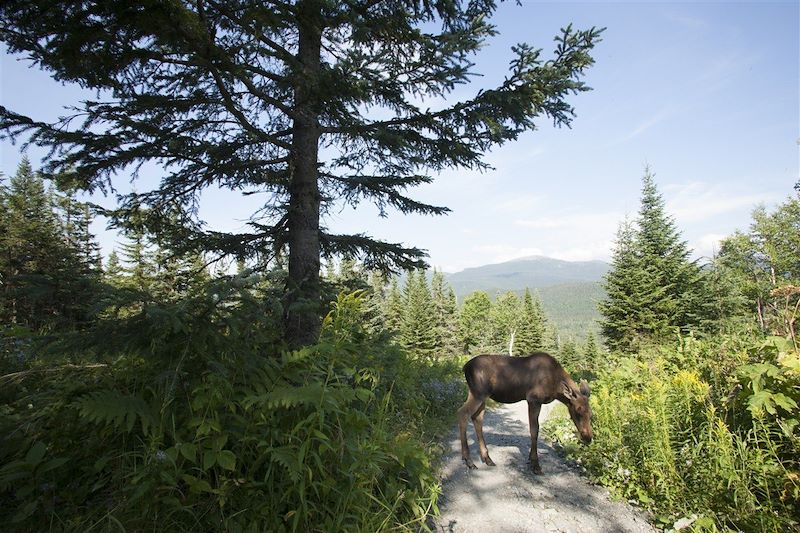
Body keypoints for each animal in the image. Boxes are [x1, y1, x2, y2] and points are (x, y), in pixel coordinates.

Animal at [456, 352, 592, 472]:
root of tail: (465, 367)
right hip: (478, 394)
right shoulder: (533, 399)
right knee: (463, 413)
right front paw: (535, 464)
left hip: (480, 395)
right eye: (578, 410)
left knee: (477, 418)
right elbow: (534, 430)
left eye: (591, 413)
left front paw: (531, 460)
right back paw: (469, 461)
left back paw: (487, 458)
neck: (556, 388)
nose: (588, 437)